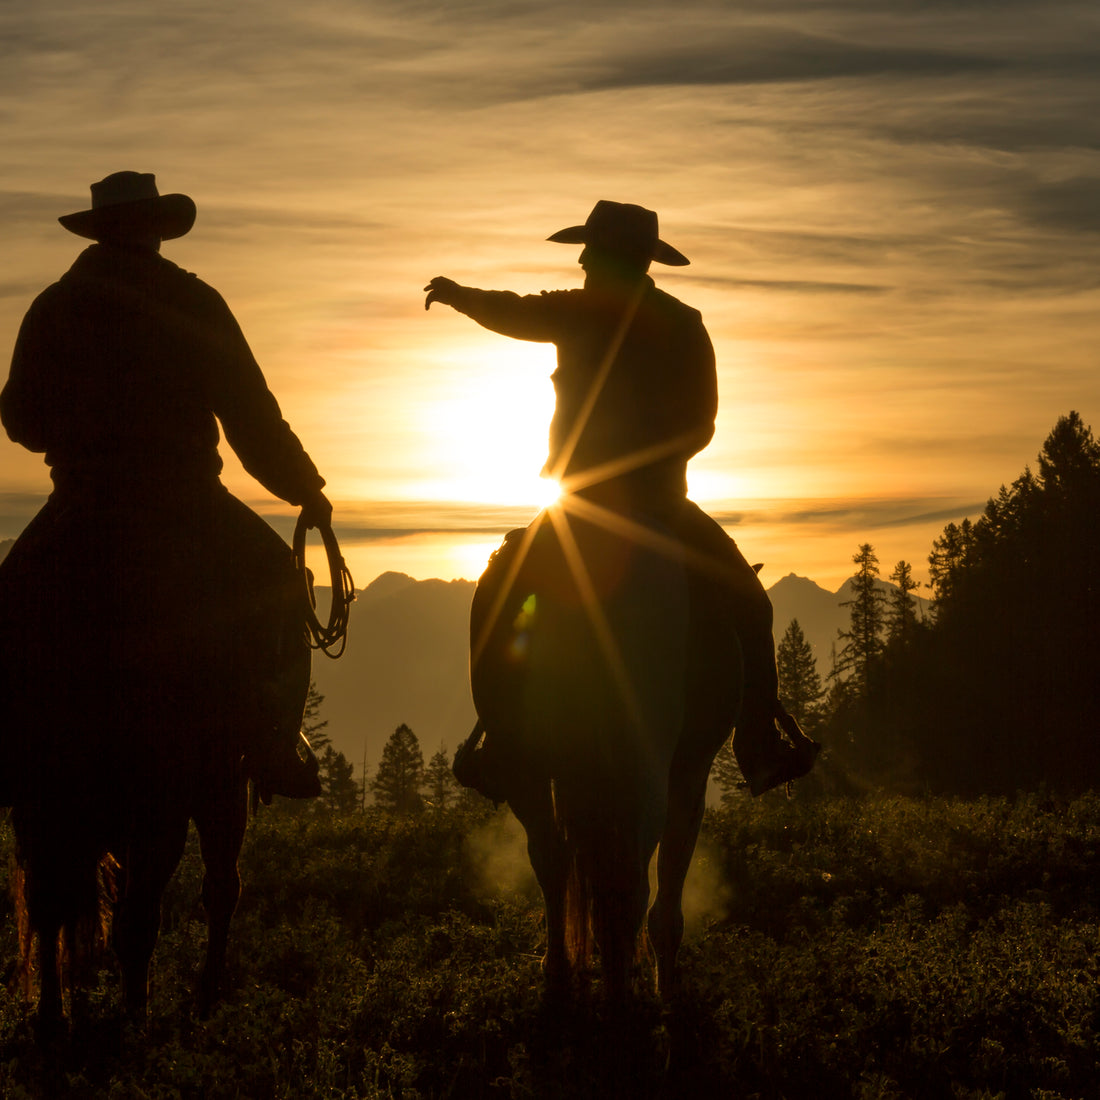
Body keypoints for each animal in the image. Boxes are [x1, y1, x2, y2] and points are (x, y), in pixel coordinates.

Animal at [468, 495, 743, 1003]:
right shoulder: (690, 772)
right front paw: (667, 986)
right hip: (640, 767)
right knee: (628, 879)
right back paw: (622, 996)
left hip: (525, 762)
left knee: (552, 856)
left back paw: (559, 972)